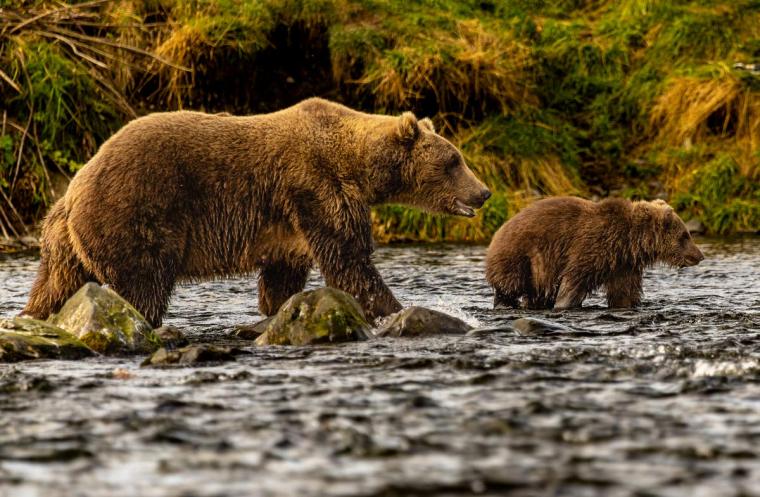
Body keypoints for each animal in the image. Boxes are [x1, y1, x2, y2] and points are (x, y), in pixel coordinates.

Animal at [23, 98, 491, 327]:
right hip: (134, 212)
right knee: (142, 285)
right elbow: (349, 259)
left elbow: (284, 275)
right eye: (453, 160)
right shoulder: (316, 187)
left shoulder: (289, 226)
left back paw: (35, 314)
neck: (356, 165)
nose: (484, 192)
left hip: (63, 242)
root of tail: (73, 190)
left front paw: (278, 307)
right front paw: (394, 307)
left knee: (56, 285)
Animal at [485, 197, 704, 310]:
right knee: (509, 287)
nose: (700, 255)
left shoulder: (623, 264)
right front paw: (563, 303)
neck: (628, 241)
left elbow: (624, 291)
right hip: (521, 258)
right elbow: (575, 279)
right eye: (685, 235)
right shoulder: (593, 246)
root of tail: (497, 233)